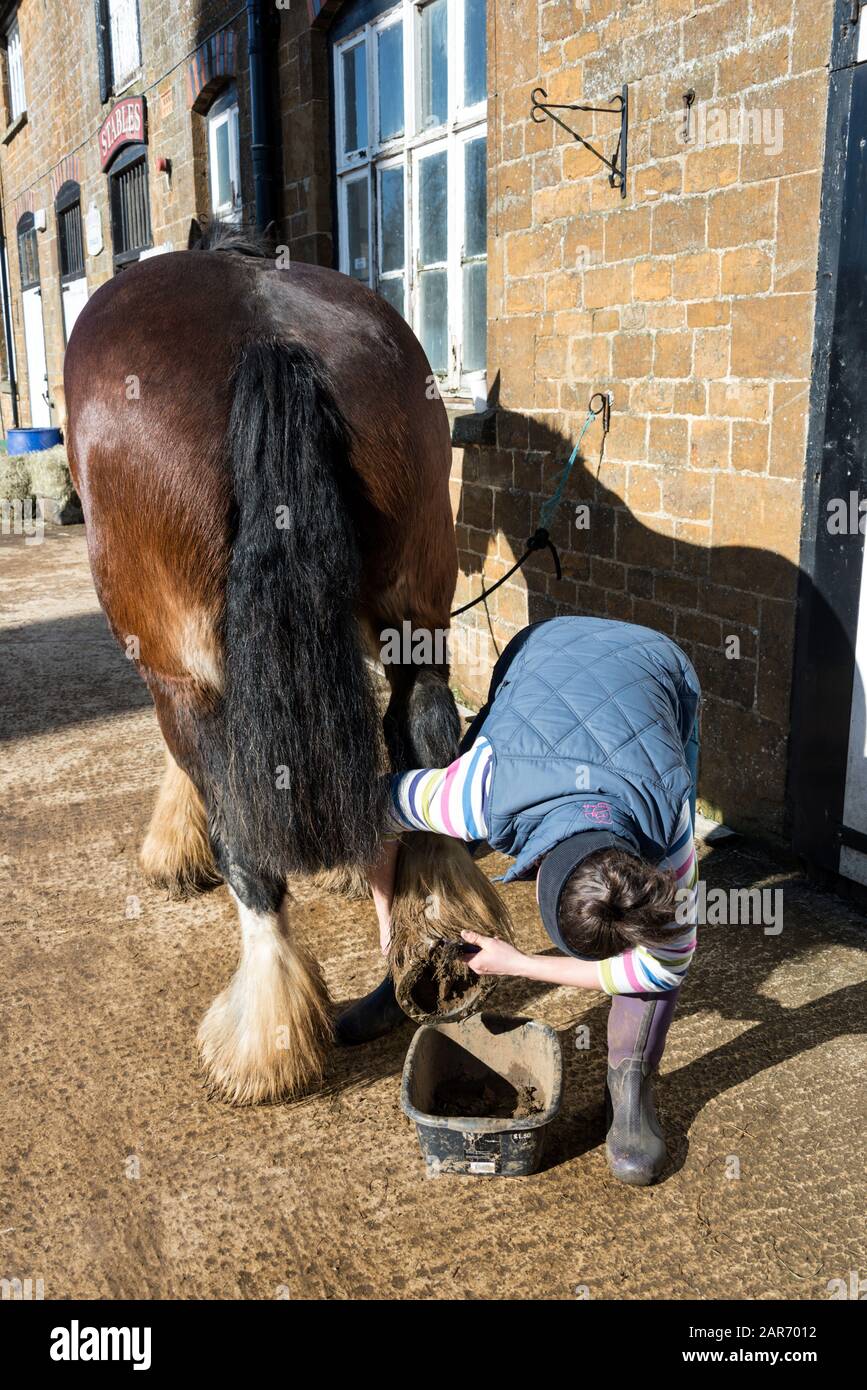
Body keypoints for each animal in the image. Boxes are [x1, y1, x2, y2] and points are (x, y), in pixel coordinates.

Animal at [65, 222, 508, 1100]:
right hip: (415, 605)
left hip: (178, 658)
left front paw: (176, 848)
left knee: (249, 847)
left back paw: (265, 1038)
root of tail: (268, 337)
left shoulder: (171, 656)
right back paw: (425, 945)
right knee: (421, 729)